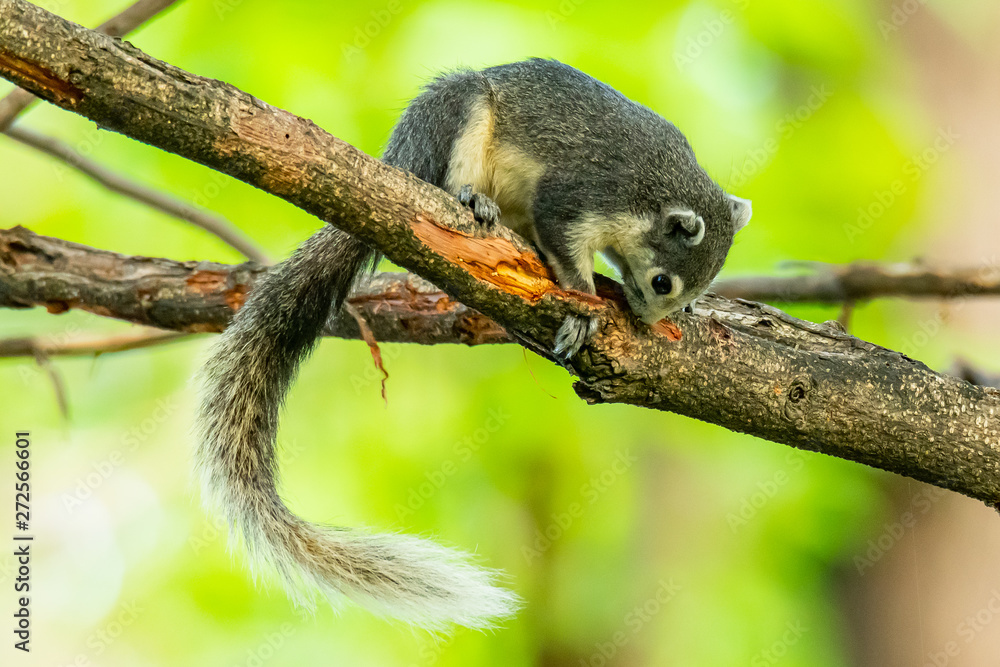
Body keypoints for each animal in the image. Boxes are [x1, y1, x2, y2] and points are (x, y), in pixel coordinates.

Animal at [195, 58, 751, 631]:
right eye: (663, 281)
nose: (646, 318)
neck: (654, 186)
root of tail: (399, 159)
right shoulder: (581, 196)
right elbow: (565, 244)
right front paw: (582, 305)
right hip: (457, 118)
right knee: (451, 177)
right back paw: (471, 198)